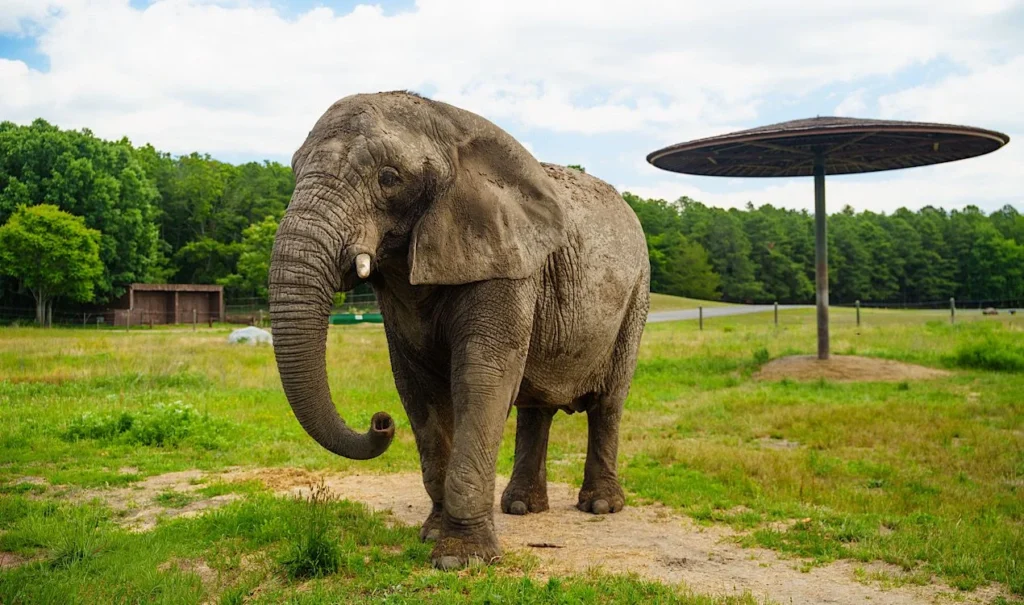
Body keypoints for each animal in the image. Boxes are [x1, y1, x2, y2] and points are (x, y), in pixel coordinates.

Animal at [269, 91, 650, 569]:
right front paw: (433, 535)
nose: (380, 422)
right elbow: (418, 389)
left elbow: (481, 378)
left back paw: (599, 506)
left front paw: (459, 559)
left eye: (389, 178)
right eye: (294, 170)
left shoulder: (508, 264)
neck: (446, 121)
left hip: (636, 295)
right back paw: (520, 507)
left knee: (609, 403)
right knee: (535, 406)